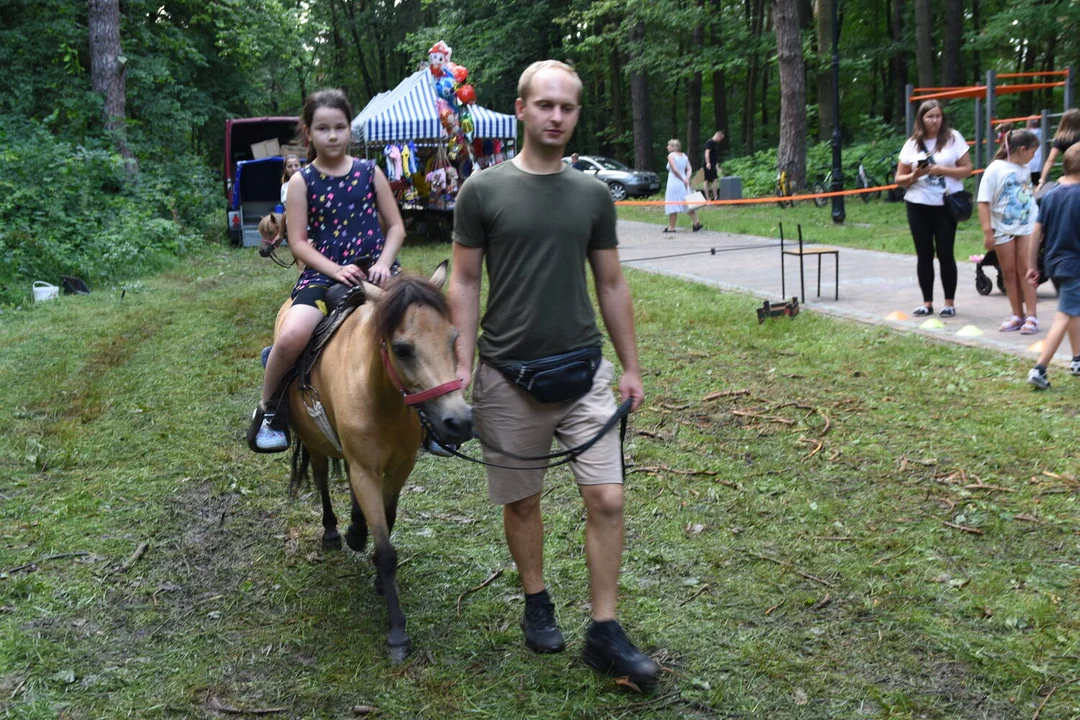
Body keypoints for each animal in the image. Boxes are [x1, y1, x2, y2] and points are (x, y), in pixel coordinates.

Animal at [274, 262, 473, 660]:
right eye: (402, 349)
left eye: (453, 337)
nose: (458, 422)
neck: (381, 397)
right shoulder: (365, 470)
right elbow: (385, 548)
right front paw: (397, 631)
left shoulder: (399, 468)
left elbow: (388, 521)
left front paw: (379, 576)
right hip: (316, 444)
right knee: (322, 479)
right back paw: (334, 532)